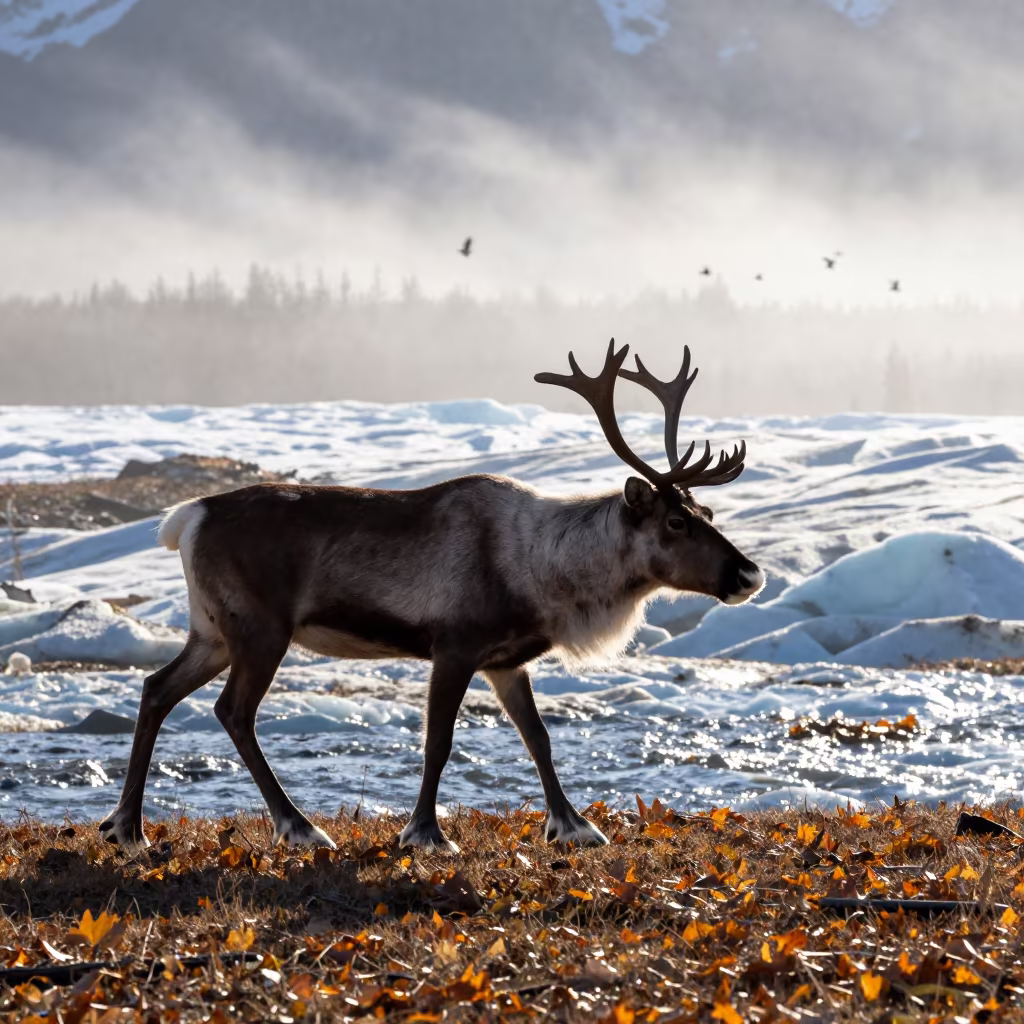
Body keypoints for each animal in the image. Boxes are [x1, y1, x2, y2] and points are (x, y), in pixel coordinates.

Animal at [99, 341, 763, 854]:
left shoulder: (507, 662)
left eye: (706, 512)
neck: (541, 569)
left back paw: (126, 827)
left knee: (156, 688)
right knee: (233, 711)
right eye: (675, 522)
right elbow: (438, 742)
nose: (749, 574)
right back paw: (300, 828)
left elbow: (539, 738)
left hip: (212, 630)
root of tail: (188, 518)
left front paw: (574, 826)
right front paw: (426, 834)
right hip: (260, 629)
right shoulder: (454, 646)